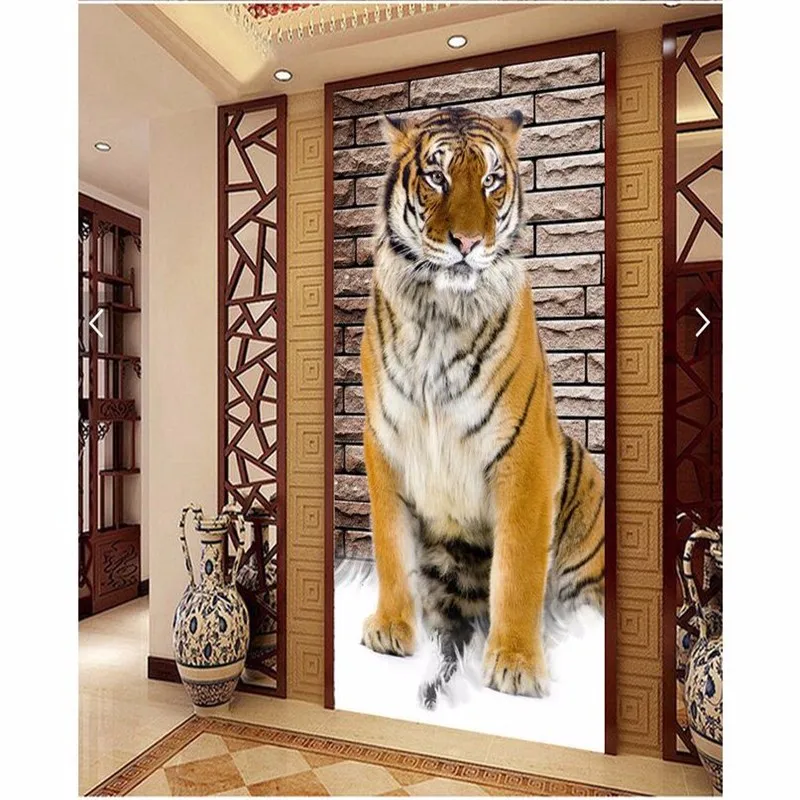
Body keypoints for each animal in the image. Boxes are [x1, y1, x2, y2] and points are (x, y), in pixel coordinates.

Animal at [359, 107, 604, 703]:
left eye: (492, 180)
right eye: (437, 177)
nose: (468, 242)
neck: (438, 313)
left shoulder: (525, 453)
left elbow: (517, 567)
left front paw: (515, 664)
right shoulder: (385, 444)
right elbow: (390, 547)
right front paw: (391, 629)